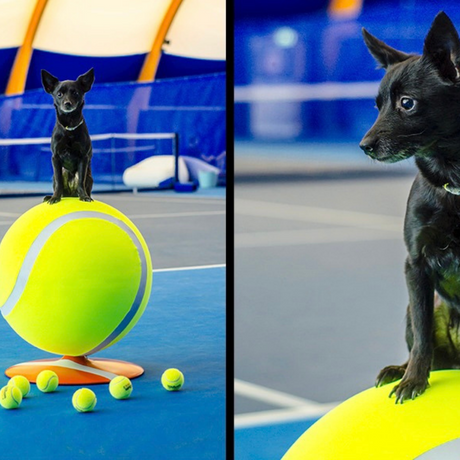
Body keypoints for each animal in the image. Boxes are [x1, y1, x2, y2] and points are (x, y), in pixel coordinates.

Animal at [41, 67, 95, 204]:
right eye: (59, 94)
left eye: (75, 93)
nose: (67, 103)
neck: (69, 128)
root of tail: (70, 194)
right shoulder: (55, 158)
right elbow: (59, 182)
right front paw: (55, 197)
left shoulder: (83, 158)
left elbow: (81, 182)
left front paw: (84, 196)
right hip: (59, 173)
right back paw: (51, 196)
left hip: (89, 177)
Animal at [362, 9, 460, 400]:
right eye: (377, 105)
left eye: (407, 102)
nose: (365, 145)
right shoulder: (416, 264)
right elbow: (421, 338)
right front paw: (413, 379)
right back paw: (399, 370)